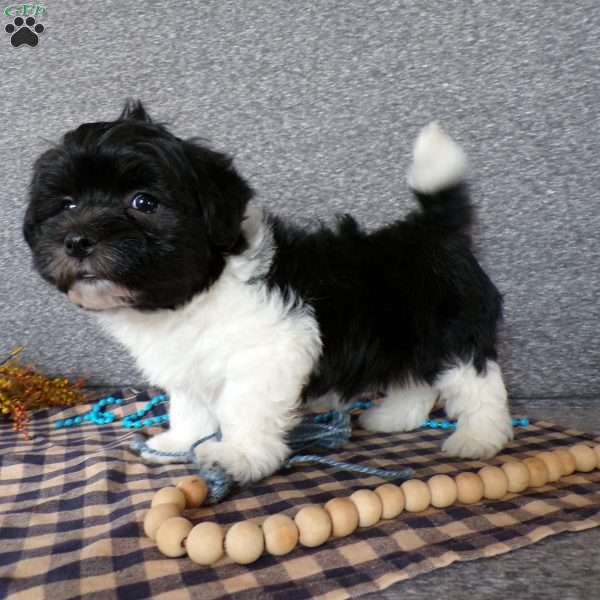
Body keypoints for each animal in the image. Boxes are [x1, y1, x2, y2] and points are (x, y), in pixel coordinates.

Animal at [22, 99, 510, 482]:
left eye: (143, 202)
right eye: (66, 205)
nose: (77, 240)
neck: (195, 292)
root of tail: (432, 229)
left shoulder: (268, 352)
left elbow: (243, 406)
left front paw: (238, 456)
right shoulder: (188, 362)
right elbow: (189, 405)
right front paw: (179, 441)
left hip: (451, 329)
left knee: (474, 380)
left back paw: (480, 438)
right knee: (415, 378)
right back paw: (394, 418)